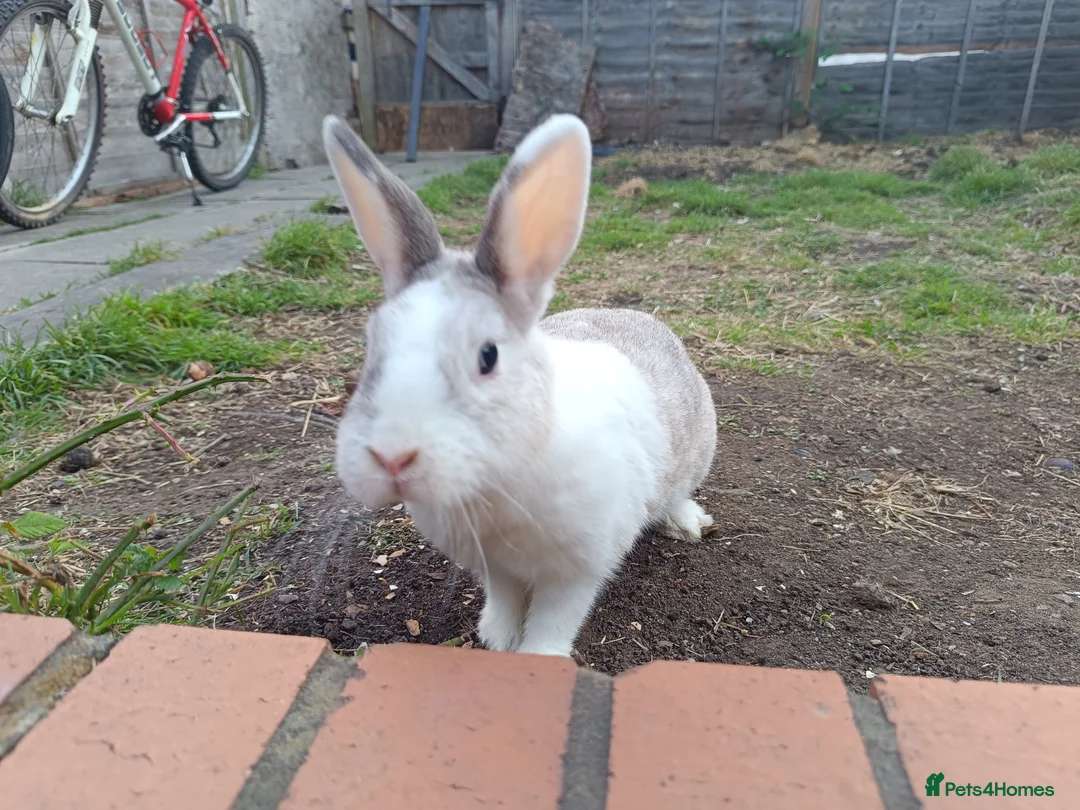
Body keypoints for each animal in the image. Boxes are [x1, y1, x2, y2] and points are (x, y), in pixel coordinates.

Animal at [325, 112, 717, 657]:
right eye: (371, 344)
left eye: (488, 356)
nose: (391, 458)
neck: (497, 480)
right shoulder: (497, 569)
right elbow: (507, 600)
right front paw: (496, 639)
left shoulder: (576, 571)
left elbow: (555, 618)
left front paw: (538, 658)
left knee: (677, 492)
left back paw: (686, 523)